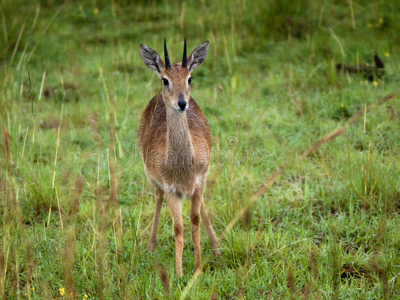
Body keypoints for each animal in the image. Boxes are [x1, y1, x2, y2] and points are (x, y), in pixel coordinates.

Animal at [139, 38, 220, 276]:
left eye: (189, 78)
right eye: (165, 80)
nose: (182, 103)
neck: (183, 164)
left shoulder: (200, 180)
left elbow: (194, 221)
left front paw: (198, 266)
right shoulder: (171, 189)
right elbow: (178, 227)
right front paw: (179, 272)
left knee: (201, 208)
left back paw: (217, 246)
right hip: (153, 180)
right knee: (157, 198)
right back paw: (151, 245)